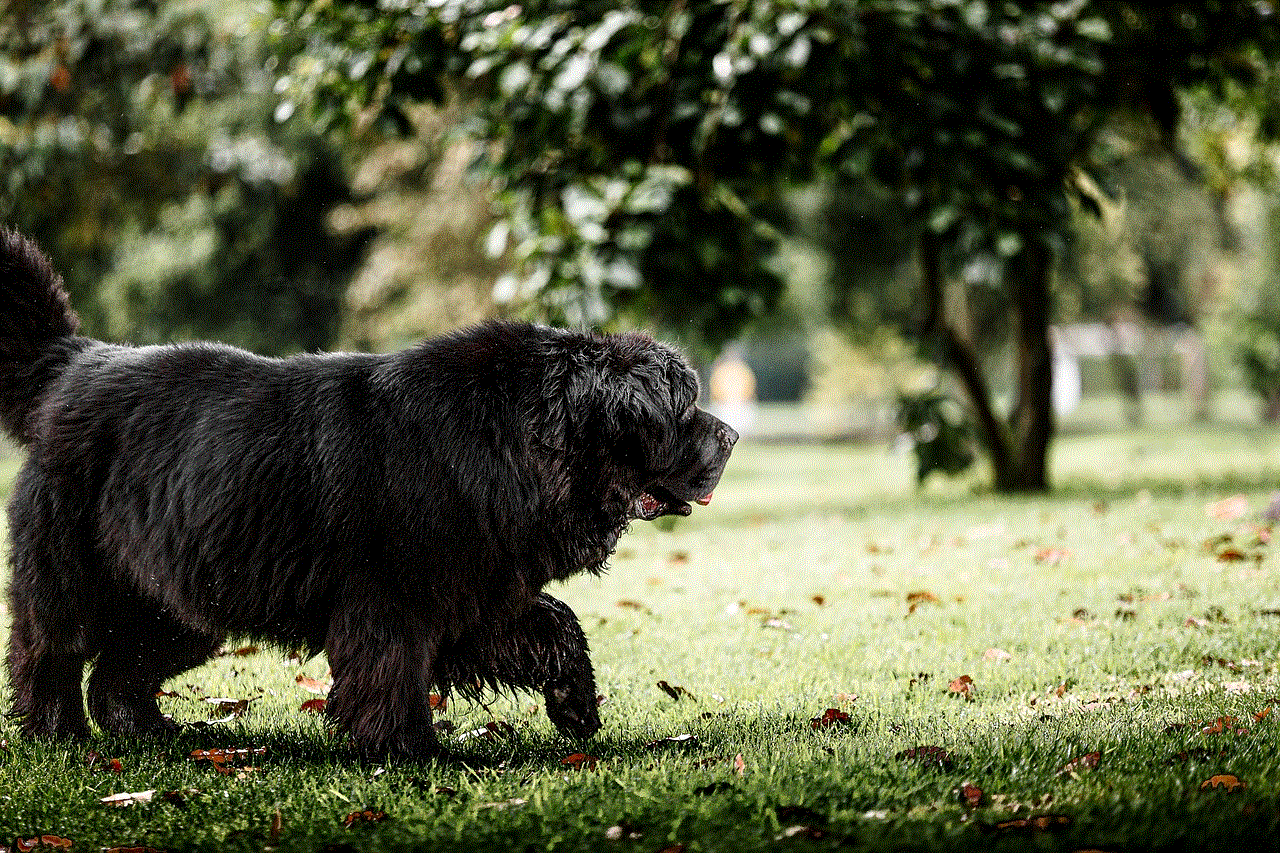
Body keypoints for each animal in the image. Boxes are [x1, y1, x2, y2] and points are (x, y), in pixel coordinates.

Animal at [0, 229, 737, 753]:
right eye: (683, 408)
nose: (730, 434)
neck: (513, 439)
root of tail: (73, 362)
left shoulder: (475, 587)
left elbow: (555, 624)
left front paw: (577, 706)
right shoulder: (390, 597)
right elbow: (390, 671)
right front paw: (409, 750)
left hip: (181, 595)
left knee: (121, 667)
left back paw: (149, 731)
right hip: (72, 571)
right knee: (50, 649)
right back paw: (58, 733)